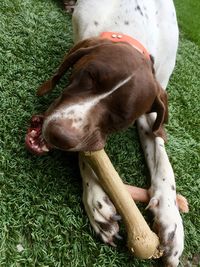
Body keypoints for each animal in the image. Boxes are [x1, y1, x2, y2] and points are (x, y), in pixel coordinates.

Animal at [25, 1, 184, 266]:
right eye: (86, 76)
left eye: (121, 118)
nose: (58, 135)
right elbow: (90, 153)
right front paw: (97, 199)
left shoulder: (151, 112)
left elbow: (163, 161)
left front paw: (171, 219)